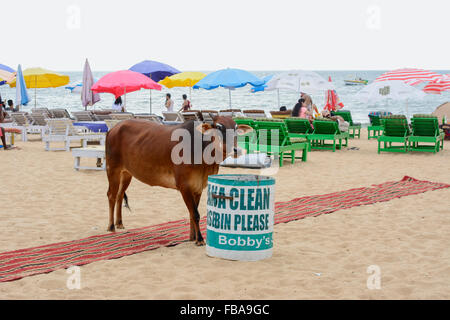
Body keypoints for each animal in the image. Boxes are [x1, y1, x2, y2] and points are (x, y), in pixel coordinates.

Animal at [106, 117, 253, 245]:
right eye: (219, 127)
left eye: (236, 129)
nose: (236, 150)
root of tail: (114, 128)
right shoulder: (184, 186)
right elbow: (195, 214)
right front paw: (200, 239)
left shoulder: (198, 187)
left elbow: (192, 213)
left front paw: (192, 237)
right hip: (112, 169)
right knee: (111, 195)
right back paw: (111, 226)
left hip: (126, 173)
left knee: (120, 194)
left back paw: (119, 223)